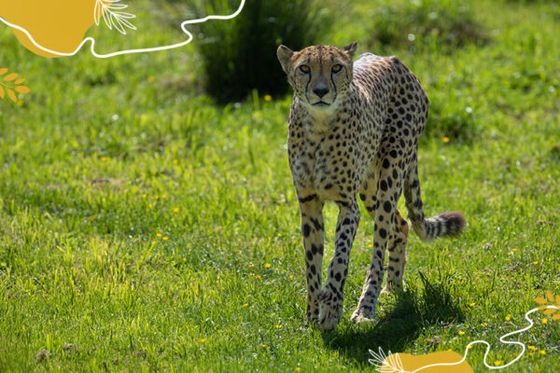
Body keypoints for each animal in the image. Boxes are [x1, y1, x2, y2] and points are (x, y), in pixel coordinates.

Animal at [278, 42, 466, 330]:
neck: (319, 126)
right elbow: (312, 263)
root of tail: (393, 60)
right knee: (401, 225)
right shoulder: (308, 203)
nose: (320, 91)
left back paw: (366, 308)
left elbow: (339, 257)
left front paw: (331, 307)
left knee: (381, 241)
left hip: (391, 172)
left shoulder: (348, 206)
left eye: (336, 67)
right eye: (305, 68)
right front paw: (311, 317)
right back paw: (393, 287)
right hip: (369, 186)